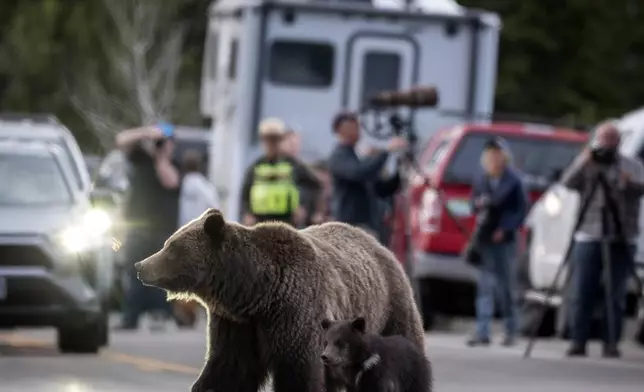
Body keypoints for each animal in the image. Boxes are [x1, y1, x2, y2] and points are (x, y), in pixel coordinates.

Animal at [135, 208, 426, 392]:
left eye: (171, 248)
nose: (141, 265)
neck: (256, 292)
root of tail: (379, 245)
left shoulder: (297, 317)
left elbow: (299, 375)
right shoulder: (237, 326)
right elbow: (228, 371)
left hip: (389, 311)